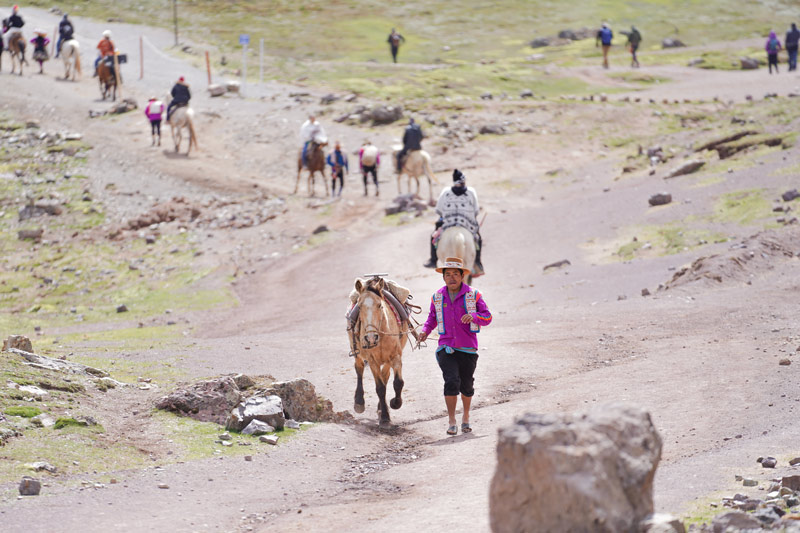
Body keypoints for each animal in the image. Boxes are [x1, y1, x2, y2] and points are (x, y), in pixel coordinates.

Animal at [351, 277, 409, 427]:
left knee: (386, 376)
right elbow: (380, 388)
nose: (371, 338)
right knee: (359, 368)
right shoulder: (372, 361)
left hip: (387, 360)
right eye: (360, 306)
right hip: (357, 353)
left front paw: (394, 403)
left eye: (379, 305)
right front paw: (385, 418)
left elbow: (398, 382)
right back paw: (359, 402)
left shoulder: (396, 357)